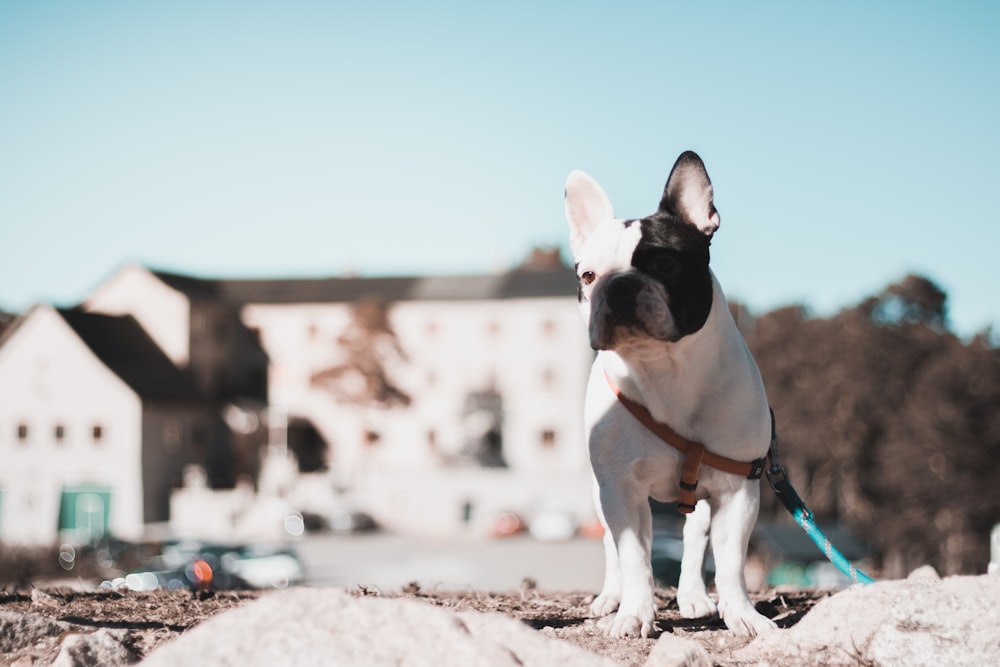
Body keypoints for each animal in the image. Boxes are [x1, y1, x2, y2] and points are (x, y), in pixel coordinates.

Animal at [568, 154, 776, 640]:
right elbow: (633, 556)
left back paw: (695, 597)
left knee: (694, 537)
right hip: (603, 494)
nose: (618, 284)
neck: (664, 368)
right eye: (588, 275)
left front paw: (742, 614)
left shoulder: (739, 489)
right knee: (614, 546)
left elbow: (731, 563)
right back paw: (612, 597)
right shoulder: (621, 490)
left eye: (664, 263)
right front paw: (633, 615)